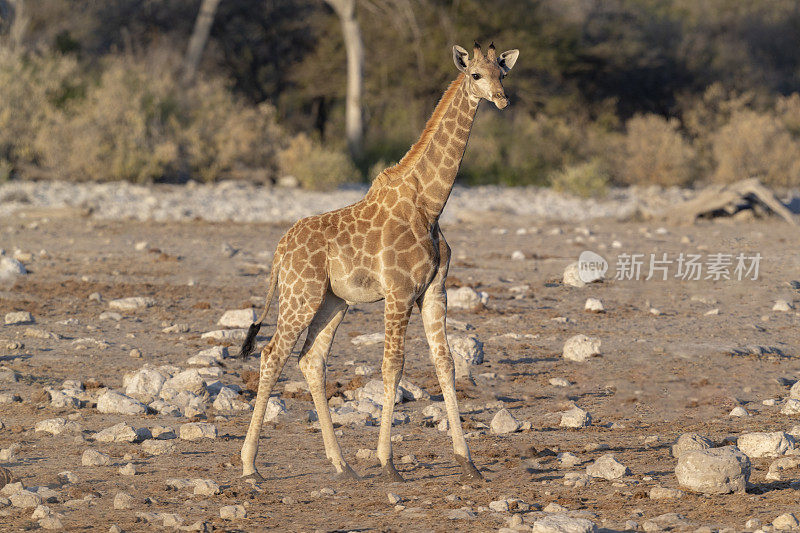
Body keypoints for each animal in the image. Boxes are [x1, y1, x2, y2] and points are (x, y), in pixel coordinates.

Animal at [236, 41, 520, 482]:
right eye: (475, 75)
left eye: (503, 73)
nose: (502, 99)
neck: (430, 205)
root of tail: (280, 250)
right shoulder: (399, 292)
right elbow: (393, 367)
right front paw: (388, 464)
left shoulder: (433, 291)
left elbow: (446, 364)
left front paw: (468, 462)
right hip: (301, 295)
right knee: (272, 356)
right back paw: (250, 466)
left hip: (334, 301)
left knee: (311, 360)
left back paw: (342, 465)